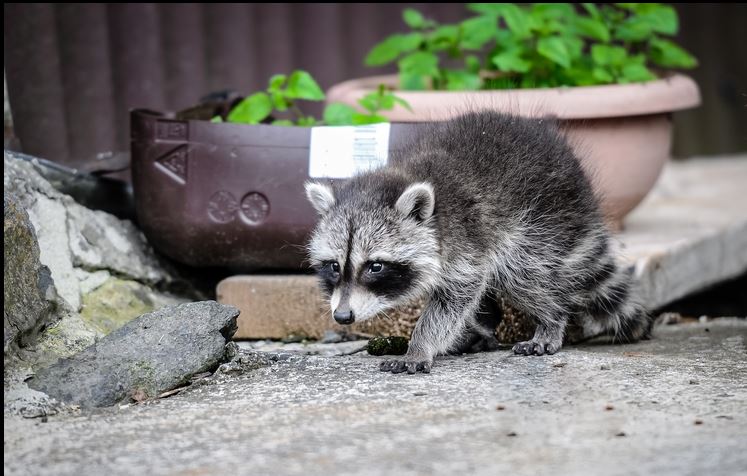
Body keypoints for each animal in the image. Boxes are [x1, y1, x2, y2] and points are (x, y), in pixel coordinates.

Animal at [304, 109, 648, 374]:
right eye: (334, 266)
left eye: (375, 266)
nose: (343, 316)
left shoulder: (466, 240)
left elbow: (455, 297)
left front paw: (420, 345)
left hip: (543, 220)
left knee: (522, 278)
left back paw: (552, 317)